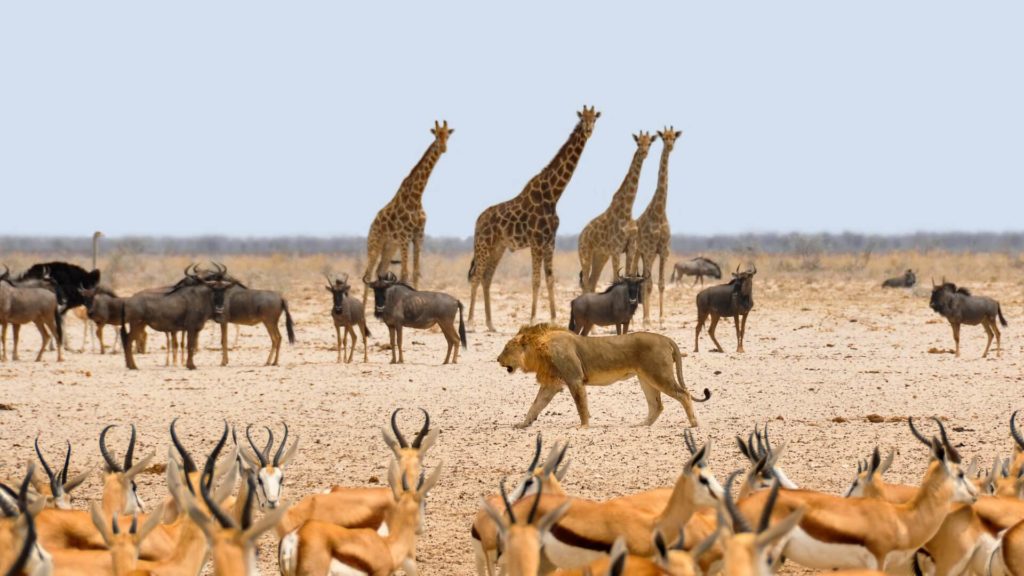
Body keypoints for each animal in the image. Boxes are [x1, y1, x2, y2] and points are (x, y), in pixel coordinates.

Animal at [362, 120, 454, 291]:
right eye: (436, 135)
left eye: (448, 135)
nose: (443, 148)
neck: (417, 197)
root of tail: (372, 225)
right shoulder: (405, 236)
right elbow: (405, 273)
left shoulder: (419, 235)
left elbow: (416, 272)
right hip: (375, 243)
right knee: (368, 273)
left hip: (390, 246)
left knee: (380, 270)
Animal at [466, 107, 598, 330]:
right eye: (582, 119)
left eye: (595, 119)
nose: (588, 130)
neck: (553, 195)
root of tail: (478, 221)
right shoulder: (536, 241)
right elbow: (536, 280)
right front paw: (533, 319)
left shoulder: (550, 241)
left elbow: (550, 279)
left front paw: (553, 319)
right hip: (483, 244)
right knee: (476, 276)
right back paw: (470, 322)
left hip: (498, 247)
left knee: (487, 277)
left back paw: (491, 324)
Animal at [497, 323, 712, 426]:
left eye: (506, 348)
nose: (497, 359)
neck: (539, 349)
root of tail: (666, 338)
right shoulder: (552, 384)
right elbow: (535, 405)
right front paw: (523, 424)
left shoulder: (574, 379)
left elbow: (581, 405)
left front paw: (583, 426)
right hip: (646, 379)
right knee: (656, 405)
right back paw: (642, 425)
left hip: (659, 375)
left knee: (683, 394)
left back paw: (693, 423)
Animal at [577, 130, 655, 291]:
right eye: (638, 142)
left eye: (650, 143)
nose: (644, 152)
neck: (627, 210)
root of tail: (580, 237)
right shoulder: (616, 249)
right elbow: (616, 278)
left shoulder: (630, 247)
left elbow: (629, 275)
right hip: (585, 254)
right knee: (586, 283)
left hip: (600, 256)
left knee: (592, 283)